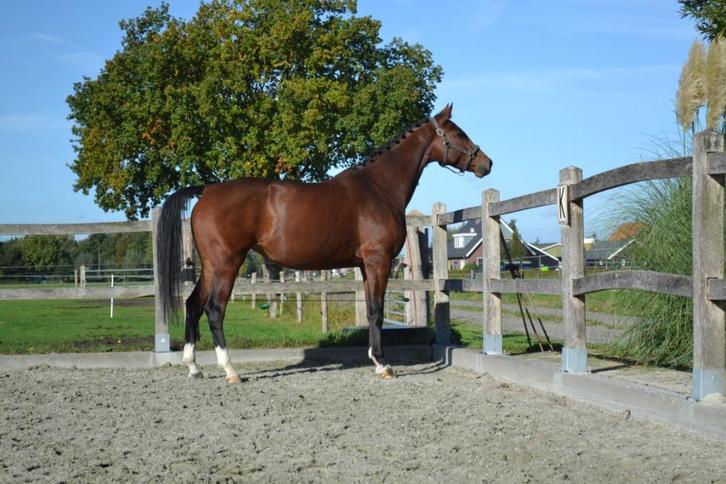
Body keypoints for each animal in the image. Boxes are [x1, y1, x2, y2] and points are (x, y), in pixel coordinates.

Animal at [156, 104, 492, 383]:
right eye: (459, 133)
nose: (486, 163)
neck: (379, 188)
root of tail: (206, 190)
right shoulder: (378, 261)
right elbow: (376, 311)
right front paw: (383, 364)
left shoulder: (366, 265)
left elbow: (370, 310)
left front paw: (374, 360)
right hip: (227, 262)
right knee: (214, 309)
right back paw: (230, 371)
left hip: (212, 265)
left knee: (193, 305)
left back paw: (194, 368)